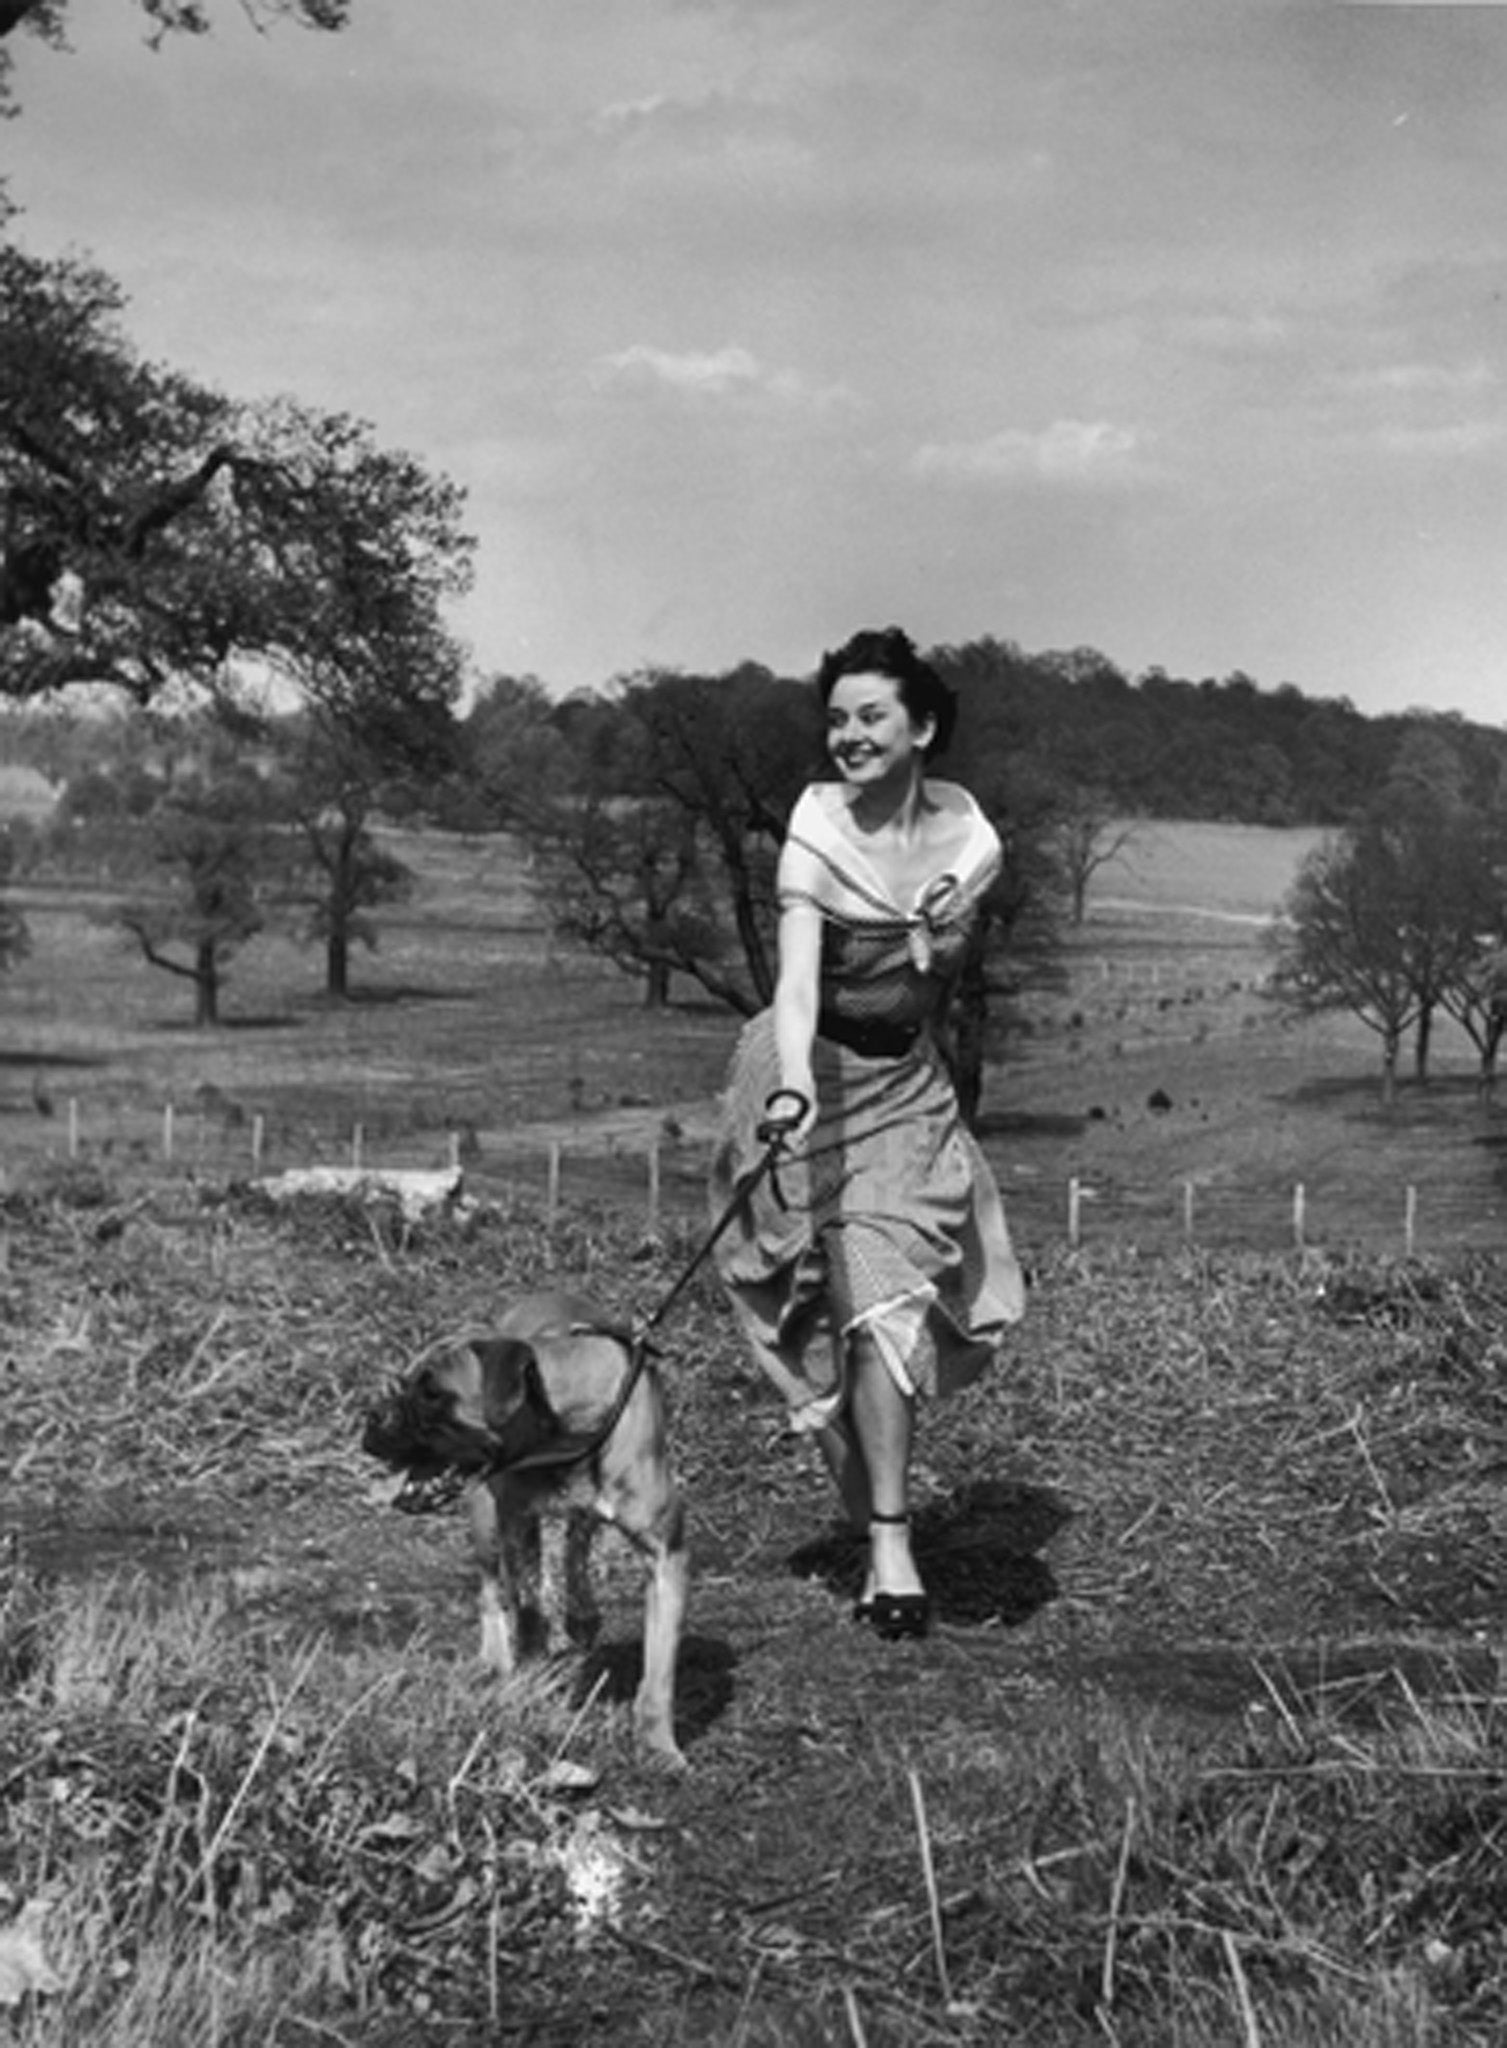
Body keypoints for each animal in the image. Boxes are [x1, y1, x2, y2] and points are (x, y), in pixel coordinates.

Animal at [362, 1286, 692, 1769]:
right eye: (404, 1386)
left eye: (433, 1394)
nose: (373, 1415)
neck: (570, 1422)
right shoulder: (516, 1523)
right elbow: (528, 1609)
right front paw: (529, 1681)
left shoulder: (666, 1557)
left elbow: (661, 1670)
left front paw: (659, 1746)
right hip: (485, 1519)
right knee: (491, 1589)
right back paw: (497, 1659)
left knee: (576, 1541)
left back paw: (580, 1612)